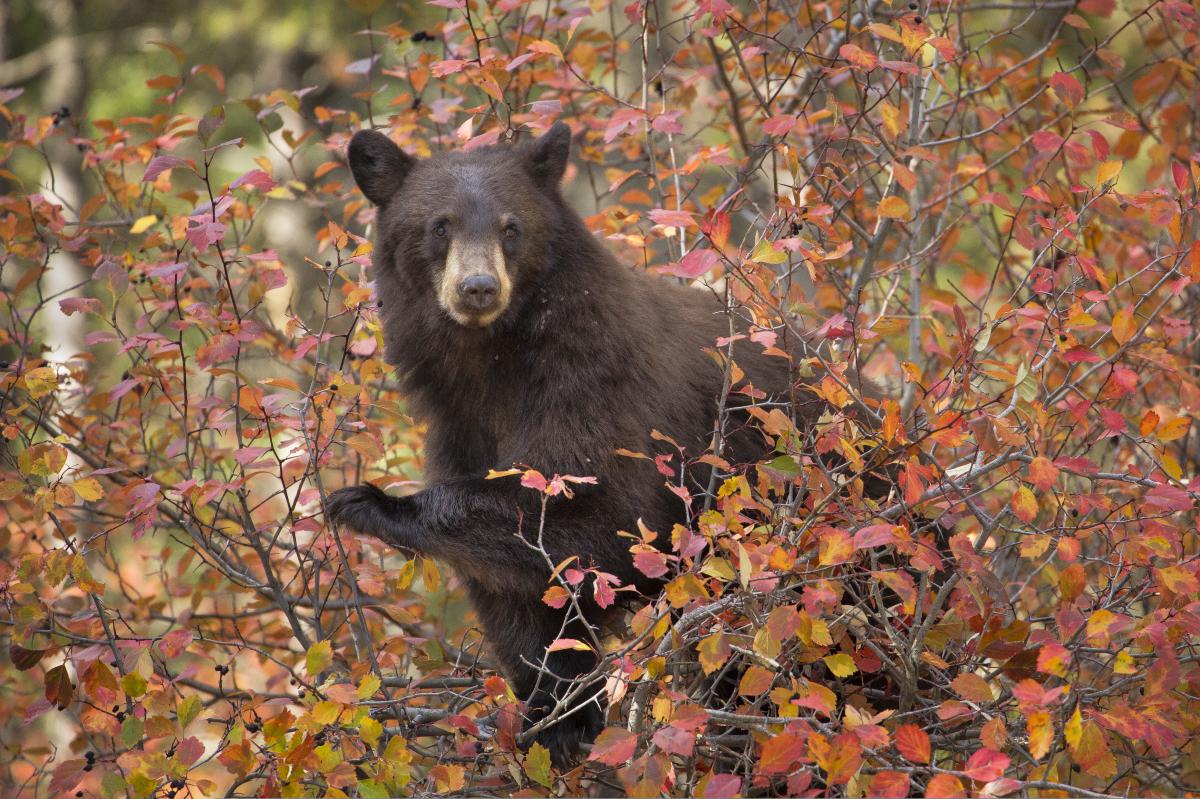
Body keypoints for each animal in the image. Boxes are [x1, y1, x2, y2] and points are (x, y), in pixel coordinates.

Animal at [327, 122, 888, 764]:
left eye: (511, 227)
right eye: (439, 226)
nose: (478, 288)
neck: (494, 362)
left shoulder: (599, 383)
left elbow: (595, 515)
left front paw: (371, 502)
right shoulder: (461, 422)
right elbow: (519, 599)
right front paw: (558, 717)